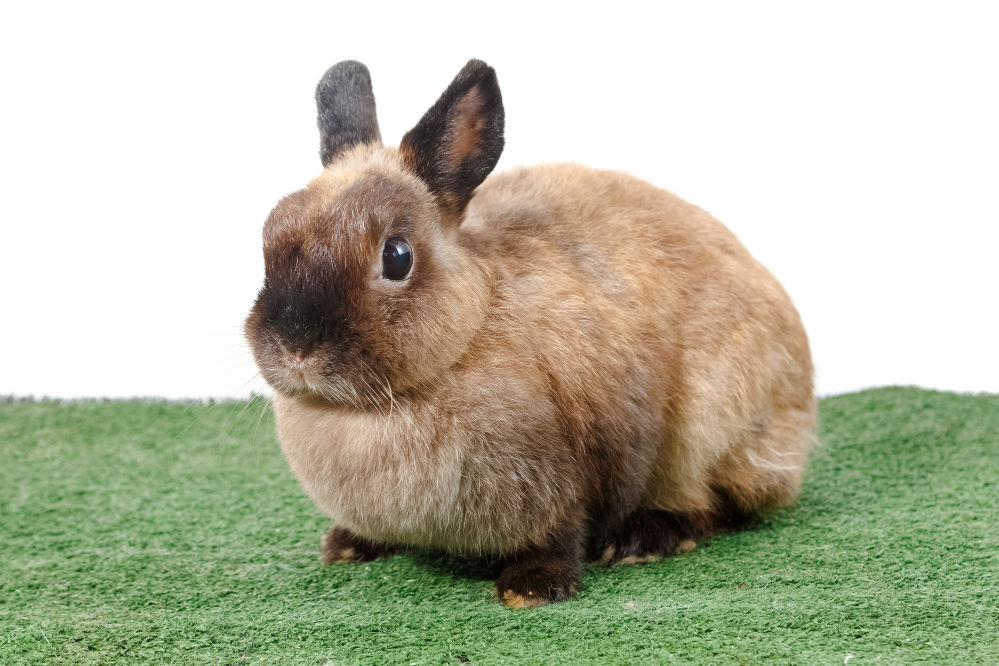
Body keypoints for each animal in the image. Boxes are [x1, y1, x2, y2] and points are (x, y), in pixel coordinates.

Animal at [246, 58, 816, 608]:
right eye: (268, 239)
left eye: (397, 256)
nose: (296, 349)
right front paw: (347, 546)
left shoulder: (566, 472)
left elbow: (561, 532)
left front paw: (532, 589)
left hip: (712, 431)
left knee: (719, 503)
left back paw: (641, 541)